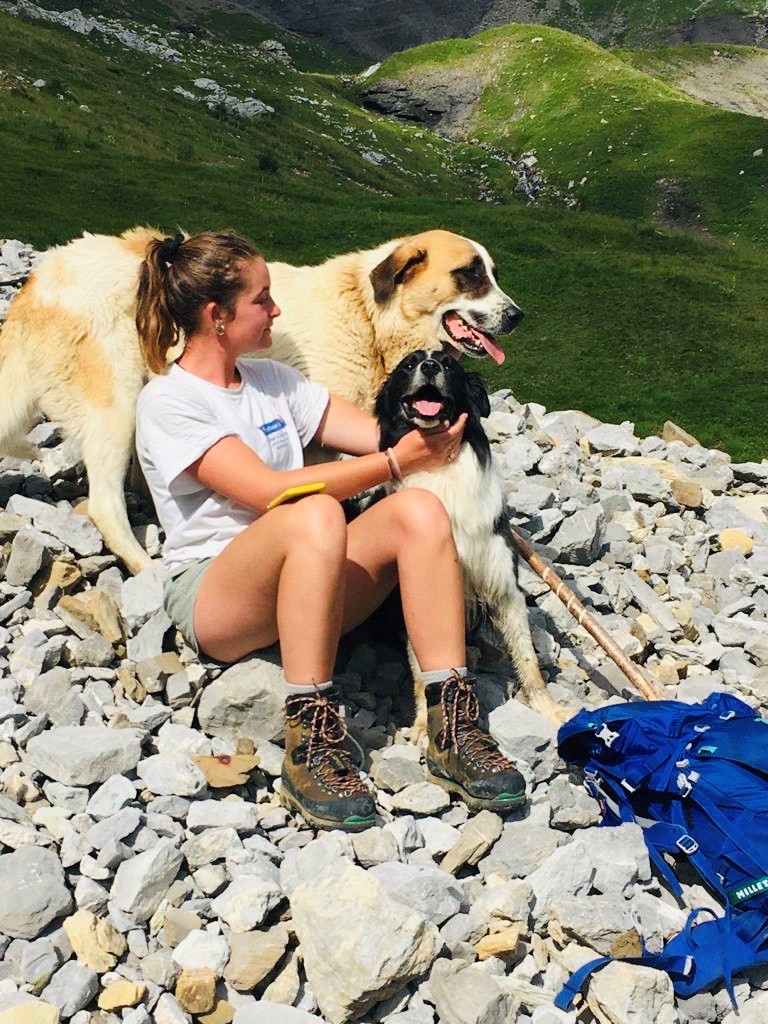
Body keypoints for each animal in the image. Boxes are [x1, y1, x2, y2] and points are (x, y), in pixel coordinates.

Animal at [0, 227, 524, 573]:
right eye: (469, 275)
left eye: (494, 274)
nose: (518, 315)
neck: (370, 317)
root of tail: (38, 282)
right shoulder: (318, 446)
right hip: (116, 399)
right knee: (105, 504)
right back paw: (145, 570)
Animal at [370, 352, 569, 737]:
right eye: (408, 365)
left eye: (449, 365)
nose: (429, 366)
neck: (440, 469)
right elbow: (423, 668)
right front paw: (421, 726)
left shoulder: (503, 582)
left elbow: (527, 657)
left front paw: (549, 710)